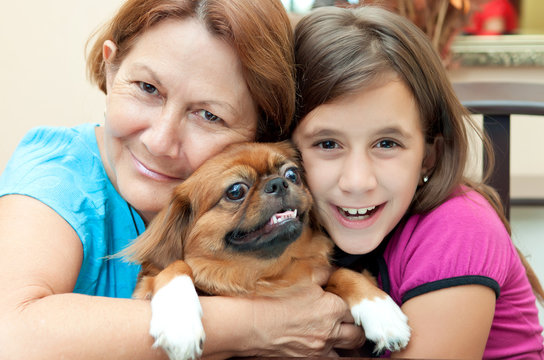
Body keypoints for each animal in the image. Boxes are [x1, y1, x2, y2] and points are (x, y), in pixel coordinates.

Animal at [123, 141, 410, 360]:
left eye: (292, 174)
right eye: (236, 191)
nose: (278, 183)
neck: (266, 273)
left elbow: (342, 274)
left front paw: (383, 313)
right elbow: (175, 265)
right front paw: (180, 325)